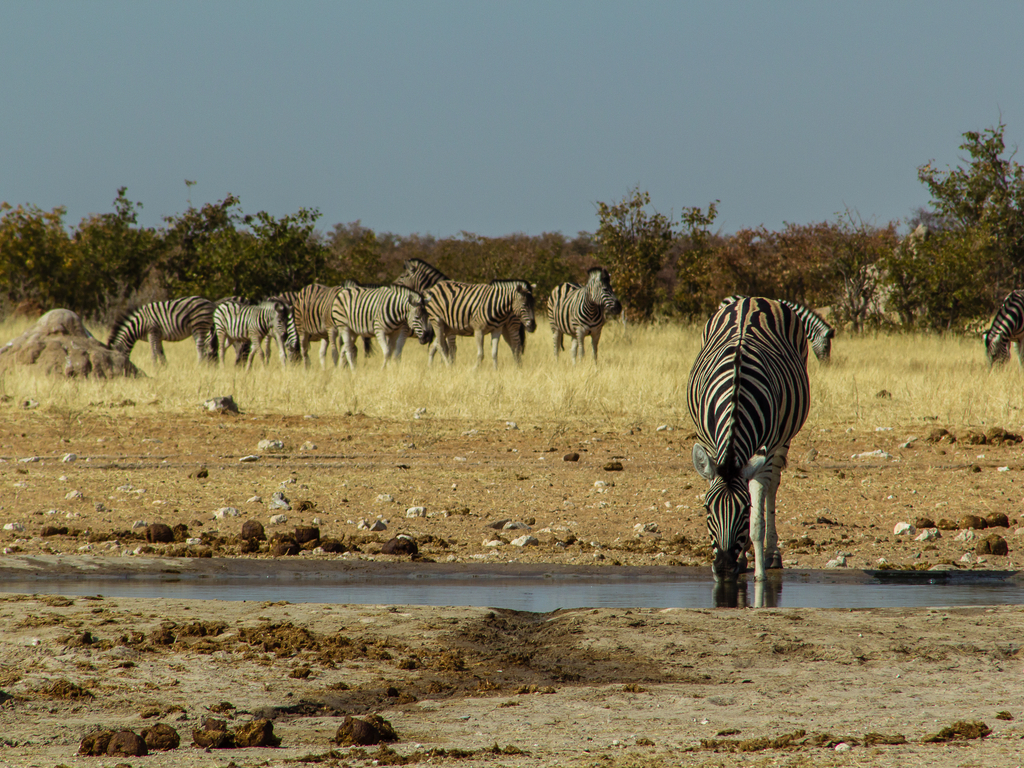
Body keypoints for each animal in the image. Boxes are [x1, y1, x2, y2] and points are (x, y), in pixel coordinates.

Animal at [684, 299, 811, 581]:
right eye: (707, 508)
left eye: (744, 509)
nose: (723, 567)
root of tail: (752, 299)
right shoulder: (708, 444)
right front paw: (741, 562)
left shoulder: (766, 452)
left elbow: (757, 523)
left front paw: (760, 576)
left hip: (782, 441)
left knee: (773, 488)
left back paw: (771, 555)